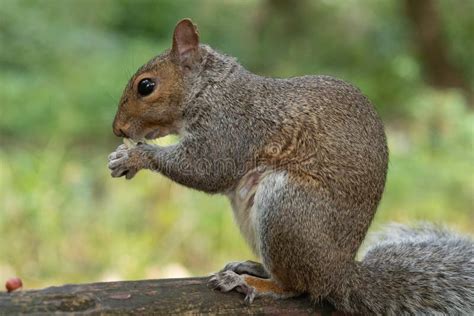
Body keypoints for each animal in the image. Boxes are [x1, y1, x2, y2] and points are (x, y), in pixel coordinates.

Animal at [107, 19, 474, 314]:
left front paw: (134, 157)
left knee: (297, 287)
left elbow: (209, 168)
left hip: (287, 207)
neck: (211, 89)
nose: (118, 129)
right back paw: (253, 267)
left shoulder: (231, 128)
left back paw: (252, 284)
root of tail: (338, 274)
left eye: (146, 86)